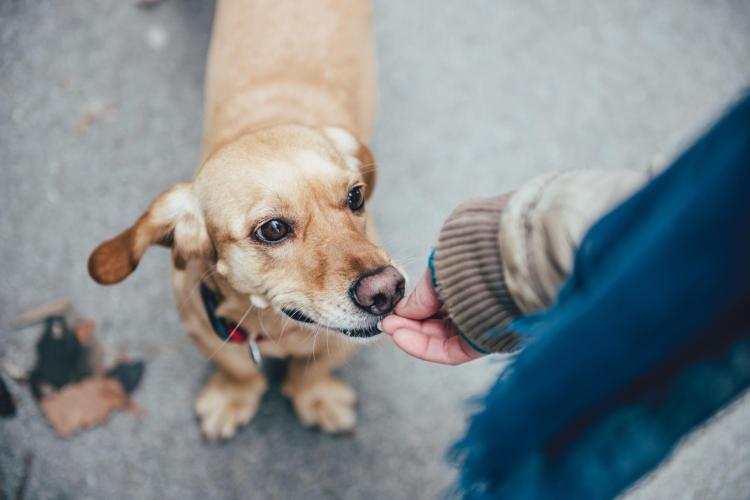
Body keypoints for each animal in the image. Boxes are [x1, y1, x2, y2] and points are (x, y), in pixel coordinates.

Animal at [88, 0, 406, 438]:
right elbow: (239, 369)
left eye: (355, 196)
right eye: (273, 229)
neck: (273, 327)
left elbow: (312, 369)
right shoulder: (202, 327)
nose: (388, 291)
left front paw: (315, 397)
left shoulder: (343, 342)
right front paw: (233, 396)